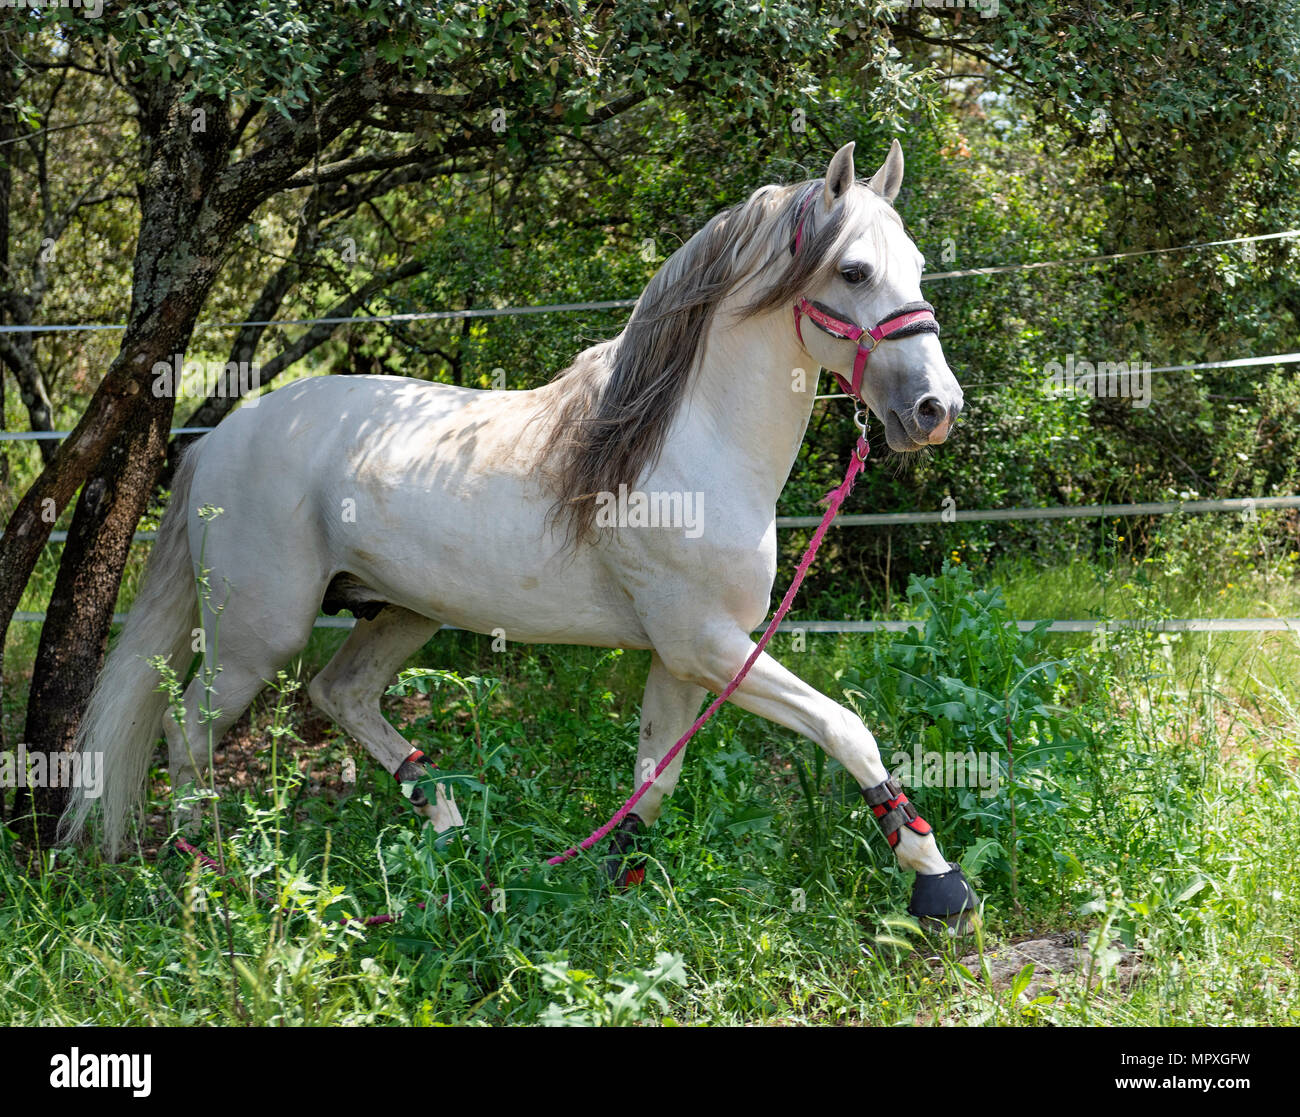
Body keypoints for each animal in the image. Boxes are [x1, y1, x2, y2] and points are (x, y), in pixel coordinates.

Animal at [61, 141, 976, 926]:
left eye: (916, 265)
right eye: (853, 270)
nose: (936, 409)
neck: (685, 447)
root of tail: (217, 439)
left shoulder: (685, 655)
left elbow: (653, 781)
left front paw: (609, 884)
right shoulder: (708, 644)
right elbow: (846, 727)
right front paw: (937, 881)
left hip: (403, 612)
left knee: (338, 693)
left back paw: (449, 828)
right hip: (258, 634)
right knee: (187, 733)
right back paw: (208, 876)